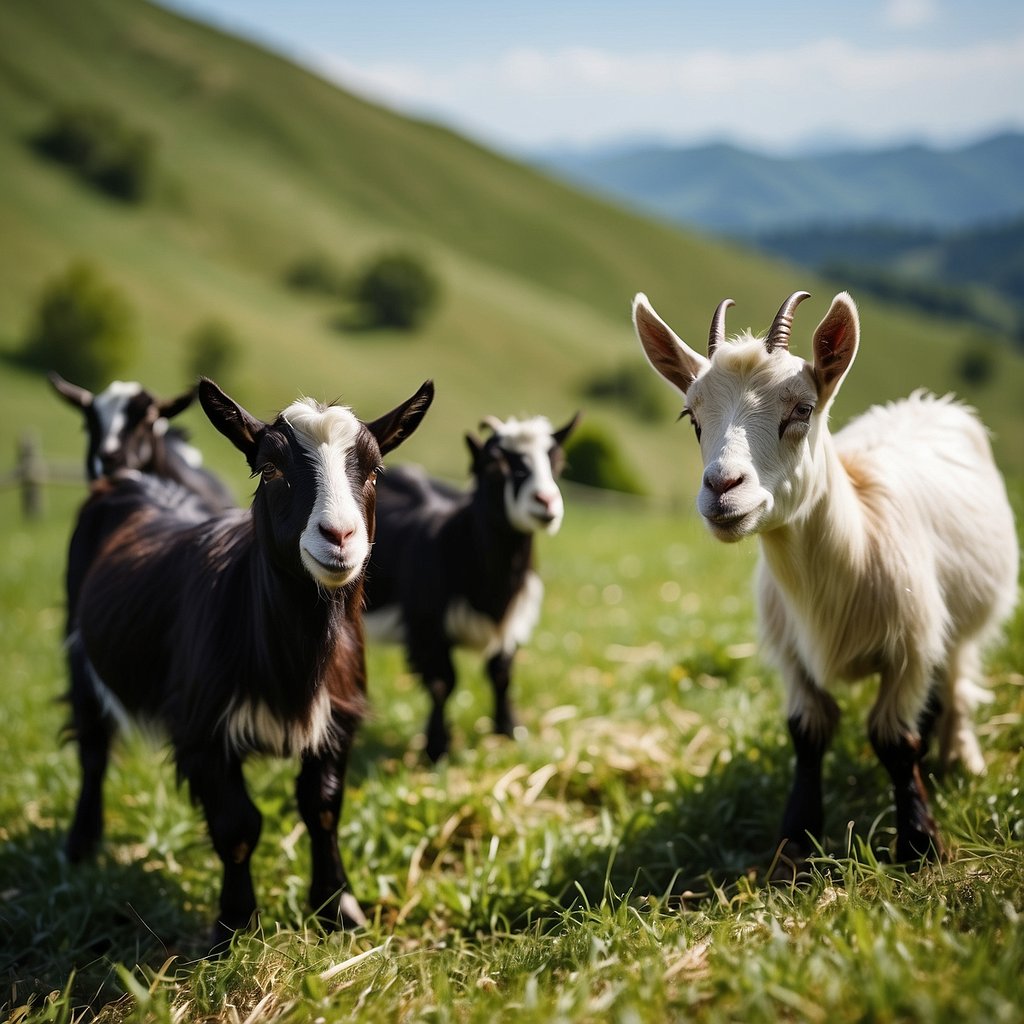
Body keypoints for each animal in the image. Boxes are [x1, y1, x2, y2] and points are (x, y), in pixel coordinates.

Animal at [63, 376, 434, 945]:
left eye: (374, 472)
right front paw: (235, 927)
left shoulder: (339, 718)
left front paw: (339, 910)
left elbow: (323, 808)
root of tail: (131, 479)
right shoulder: (202, 730)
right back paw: (81, 845)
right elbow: (238, 826)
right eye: (271, 469)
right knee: (92, 747)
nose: (340, 536)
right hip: (78, 644)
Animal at [363, 412, 579, 761]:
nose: (545, 501)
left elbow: (501, 675)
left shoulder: (513, 623)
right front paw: (436, 748)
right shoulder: (426, 628)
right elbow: (442, 684)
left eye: (557, 461)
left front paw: (508, 730)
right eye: (493, 464)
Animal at [633, 289, 1018, 864]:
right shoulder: (793, 654)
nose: (722, 487)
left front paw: (918, 844)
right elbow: (807, 734)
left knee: (956, 678)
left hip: (967, 619)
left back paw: (960, 756)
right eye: (691, 415)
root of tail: (926, 401)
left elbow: (894, 741)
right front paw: (795, 844)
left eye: (802, 409)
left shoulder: (909, 645)